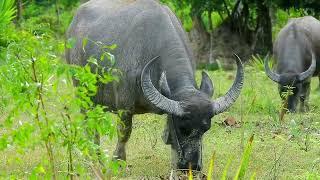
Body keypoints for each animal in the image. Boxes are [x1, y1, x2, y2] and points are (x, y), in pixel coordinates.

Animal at [66, 0, 244, 170]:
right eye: (183, 128)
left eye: (206, 129)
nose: (192, 166)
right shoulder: (124, 107)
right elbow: (124, 133)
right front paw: (118, 162)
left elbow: (169, 136)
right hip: (82, 93)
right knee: (89, 124)